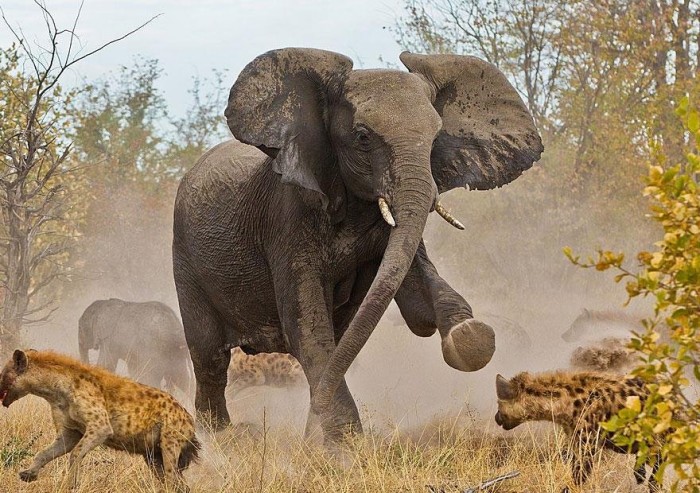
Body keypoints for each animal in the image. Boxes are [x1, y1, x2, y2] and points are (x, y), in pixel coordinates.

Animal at [172, 48, 544, 440]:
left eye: (435, 139)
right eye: (363, 137)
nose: (309, 432)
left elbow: (416, 299)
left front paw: (469, 335)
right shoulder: (287, 216)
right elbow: (306, 326)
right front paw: (345, 445)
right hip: (185, 258)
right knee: (210, 356)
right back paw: (217, 437)